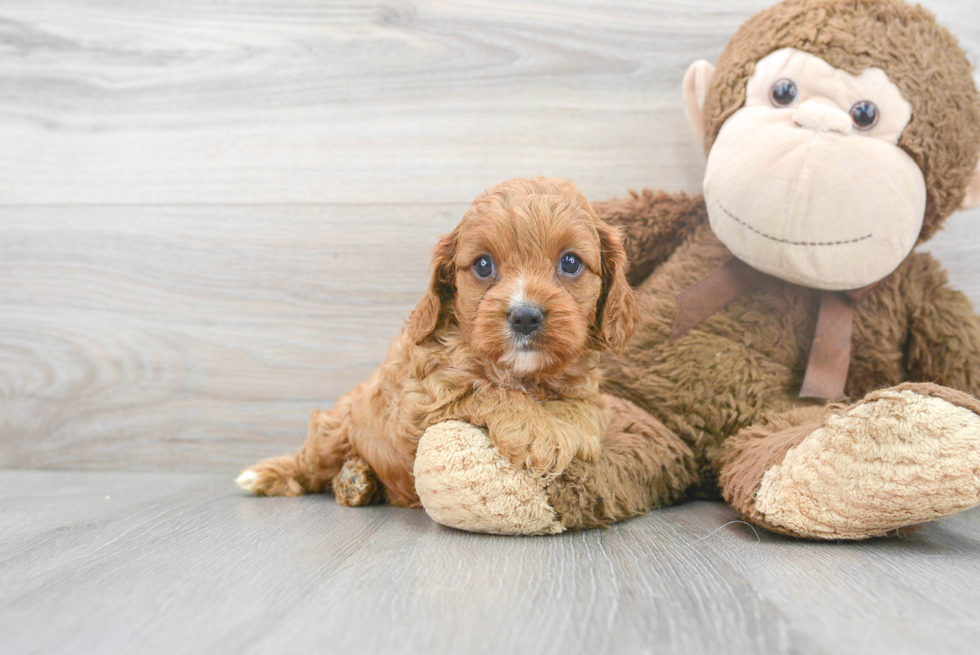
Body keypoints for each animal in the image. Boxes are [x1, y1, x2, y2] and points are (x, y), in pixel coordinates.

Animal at [234, 178, 640, 508]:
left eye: (570, 262)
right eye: (483, 265)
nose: (525, 316)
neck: (522, 372)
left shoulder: (586, 388)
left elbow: (585, 407)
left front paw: (572, 429)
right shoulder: (418, 406)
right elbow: (488, 391)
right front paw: (540, 433)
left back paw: (355, 480)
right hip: (336, 427)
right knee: (309, 461)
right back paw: (270, 475)